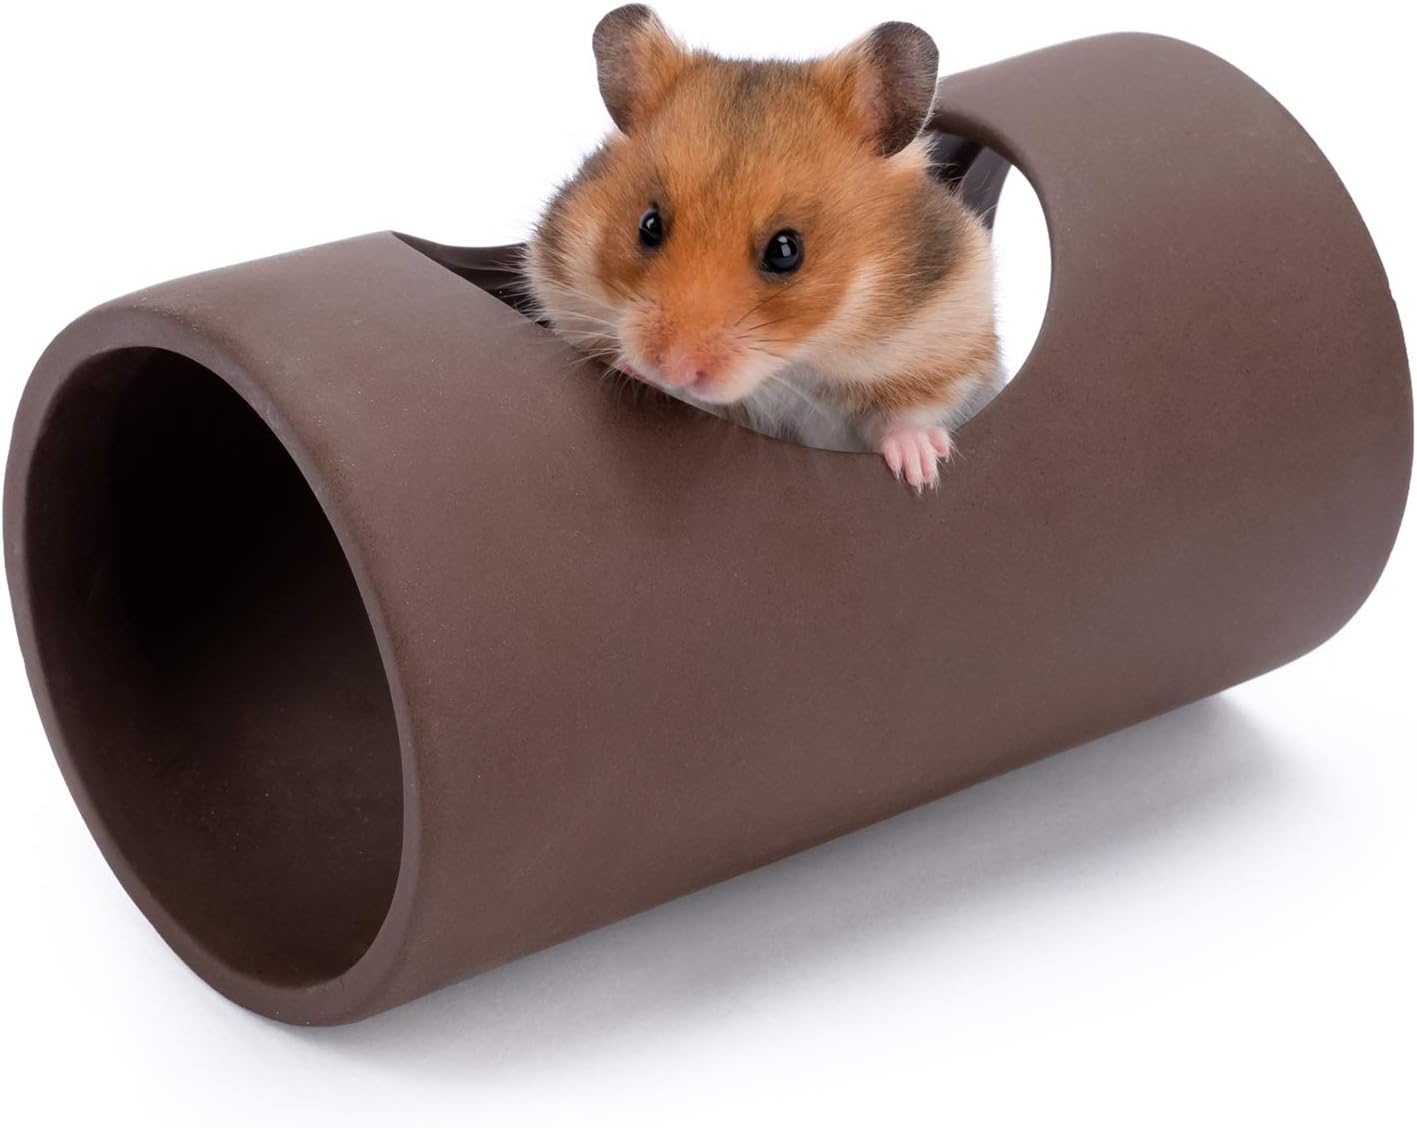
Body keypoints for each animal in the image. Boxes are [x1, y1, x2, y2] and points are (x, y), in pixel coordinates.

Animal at [524, 4, 1003, 490]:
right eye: (649, 225)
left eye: (786, 250)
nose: (671, 368)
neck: (791, 365)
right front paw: (628, 367)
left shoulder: (948, 345)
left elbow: (910, 415)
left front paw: (922, 472)